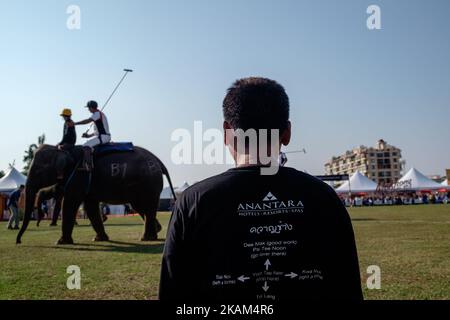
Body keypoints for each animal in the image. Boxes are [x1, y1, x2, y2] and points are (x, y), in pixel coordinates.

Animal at [15, 144, 175, 244]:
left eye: (38, 170)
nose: (18, 241)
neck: (62, 150)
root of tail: (158, 161)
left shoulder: (79, 175)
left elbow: (70, 204)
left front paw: (60, 242)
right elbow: (90, 207)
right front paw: (99, 239)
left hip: (149, 183)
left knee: (148, 206)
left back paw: (146, 238)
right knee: (140, 206)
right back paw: (154, 233)